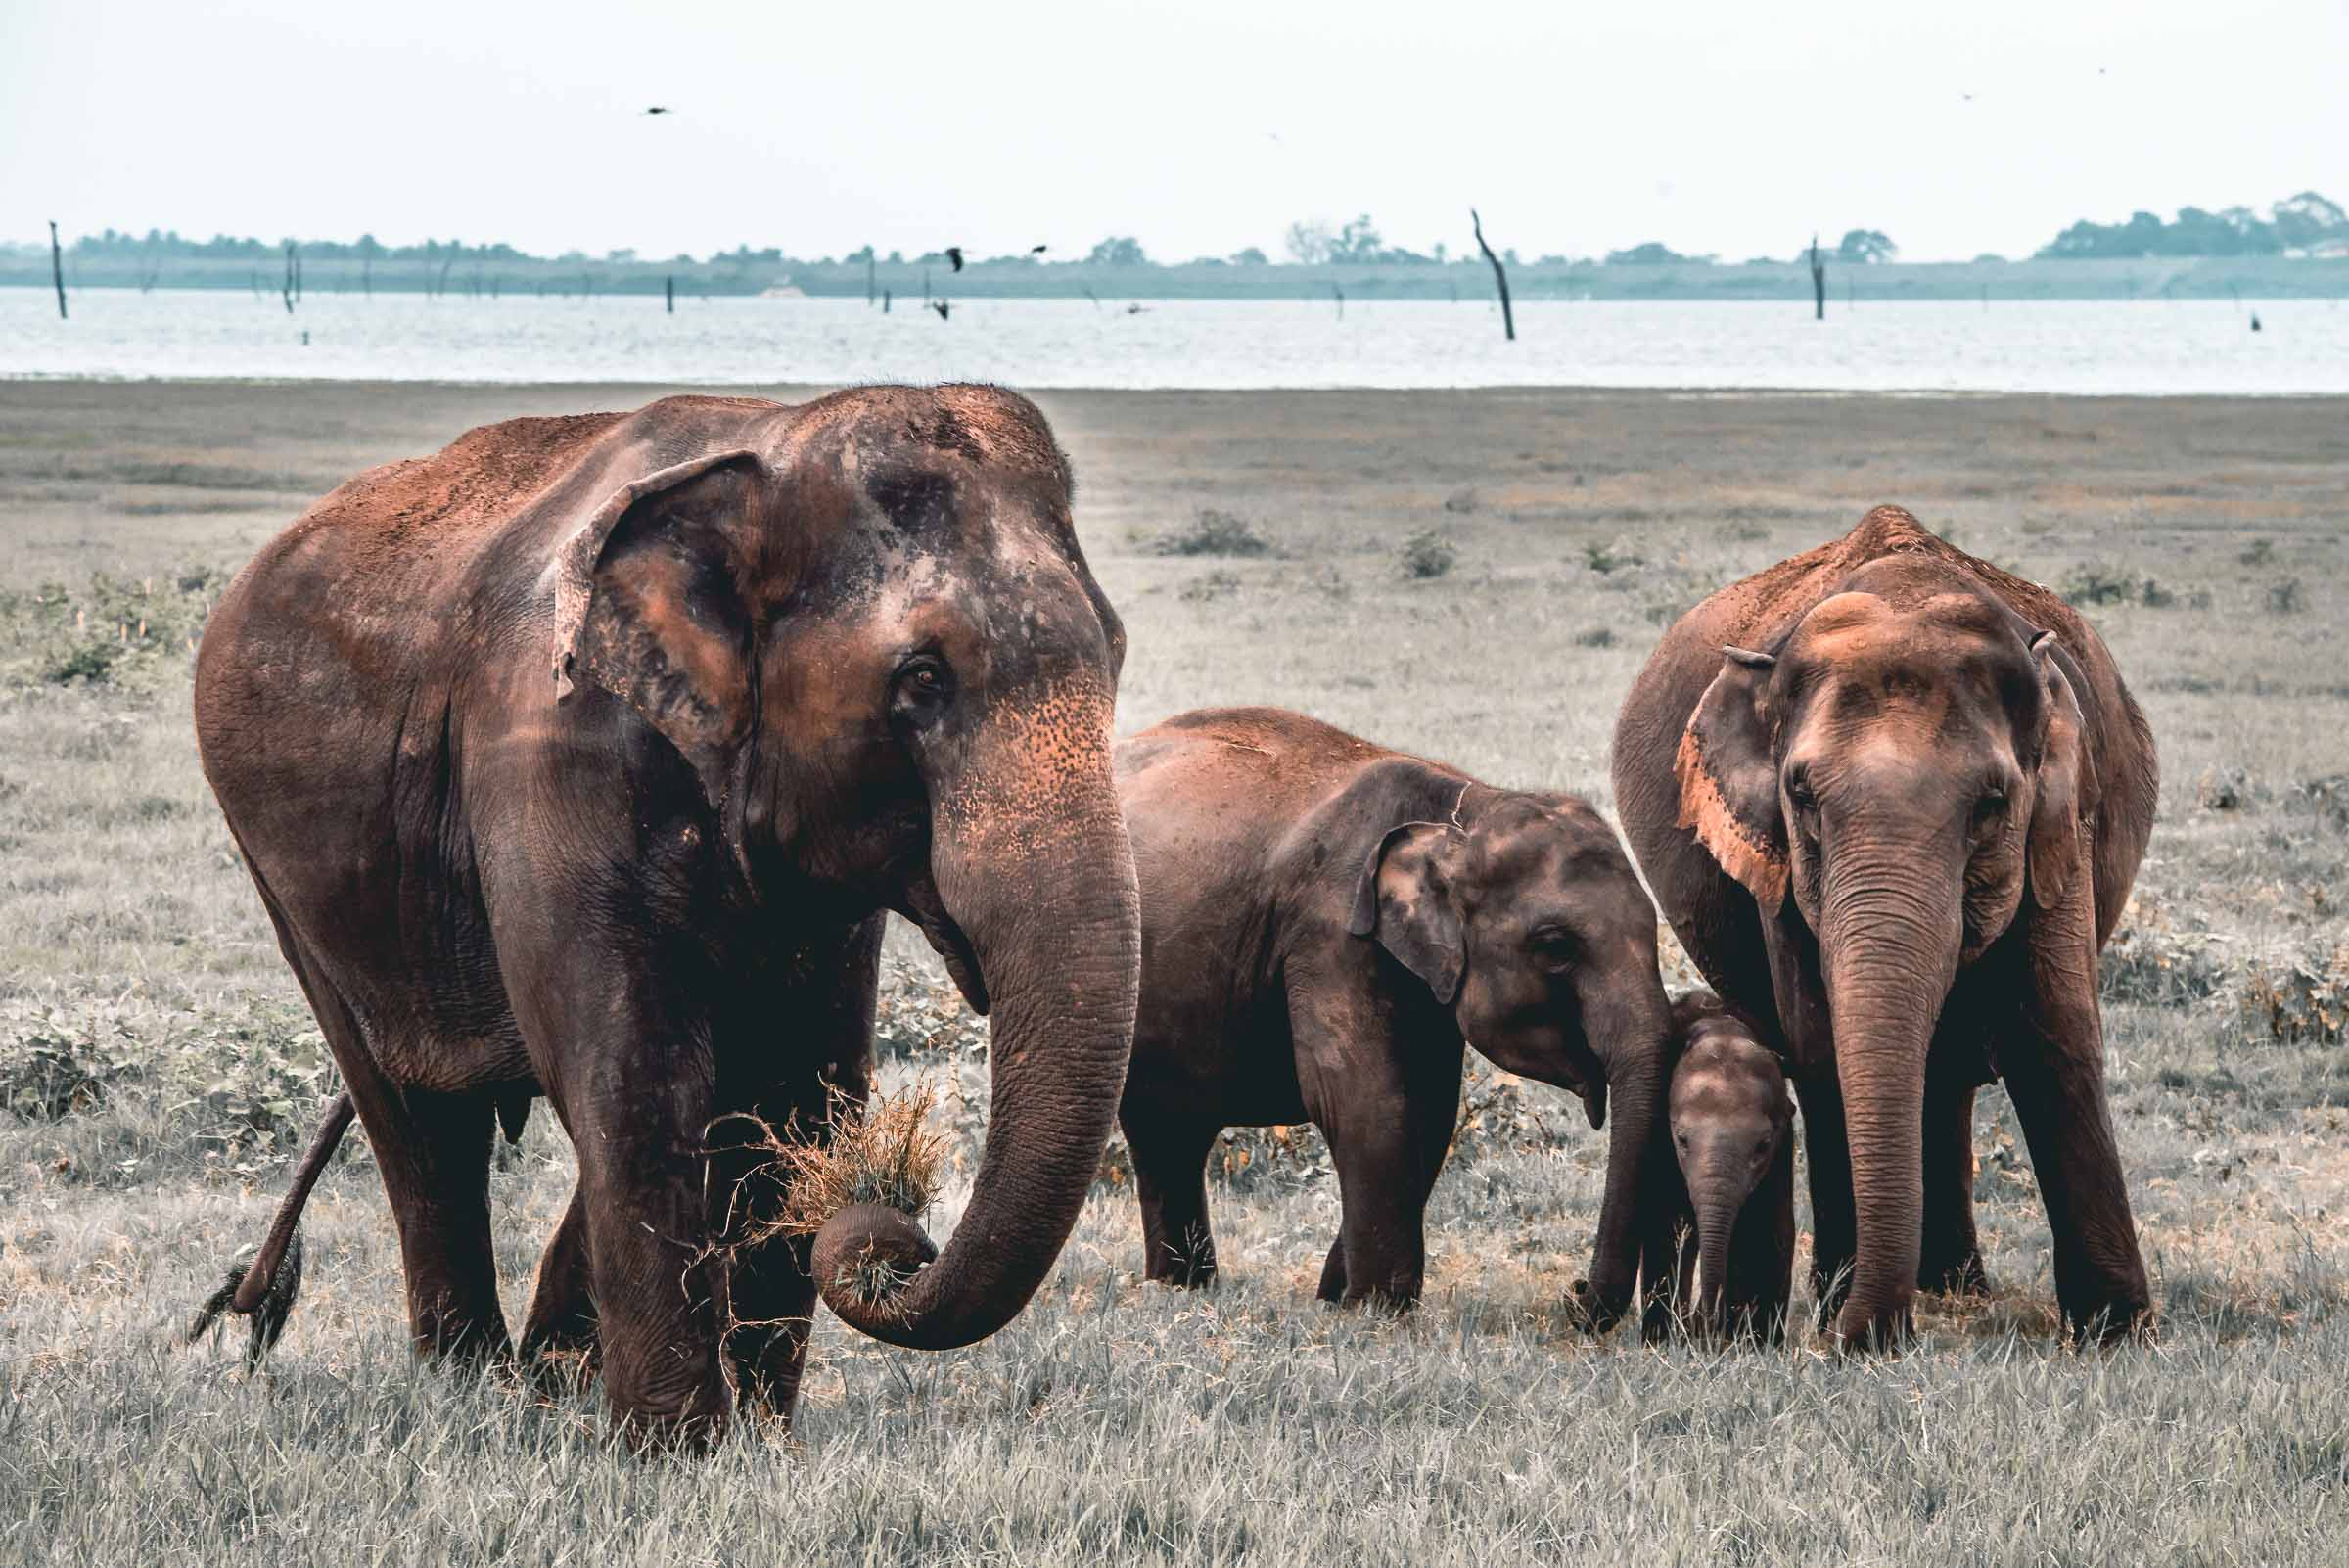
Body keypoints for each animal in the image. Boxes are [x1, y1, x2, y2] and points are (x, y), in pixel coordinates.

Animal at [188, 385, 1141, 1436]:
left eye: (1118, 655)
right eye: (922, 678)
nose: (894, 1232)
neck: (773, 444)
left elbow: (800, 1092)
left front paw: (761, 1442)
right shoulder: (553, 760)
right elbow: (638, 1080)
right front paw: (675, 1450)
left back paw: (542, 1382)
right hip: (286, 875)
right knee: (417, 1121)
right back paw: (471, 1392)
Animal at [1113, 709, 1672, 1314]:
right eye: (1555, 947)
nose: (1575, 1295)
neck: (1463, 808)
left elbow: (1430, 1107)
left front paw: (1337, 1298)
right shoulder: (1332, 932)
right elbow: (1366, 1098)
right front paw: (1376, 1309)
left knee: (1167, 1128)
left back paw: (1181, 1286)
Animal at [1653, 999, 1794, 1342]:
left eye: (1762, 1146)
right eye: (1681, 1139)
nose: (1702, 1324)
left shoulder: (1782, 1152)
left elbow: (1770, 1230)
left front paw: (1758, 1342)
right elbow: (1668, 1223)